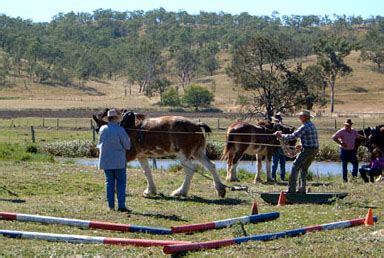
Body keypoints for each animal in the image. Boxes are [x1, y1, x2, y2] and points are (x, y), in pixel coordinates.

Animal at [92, 109, 226, 198]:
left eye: (98, 127)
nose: (99, 146)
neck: (126, 125)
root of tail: (197, 125)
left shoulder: (127, 155)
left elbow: (117, 171)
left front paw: (115, 189)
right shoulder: (141, 156)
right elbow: (147, 172)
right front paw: (150, 190)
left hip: (183, 155)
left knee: (190, 170)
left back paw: (181, 191)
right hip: (198, 152)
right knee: (211, 166)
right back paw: (220, 189)